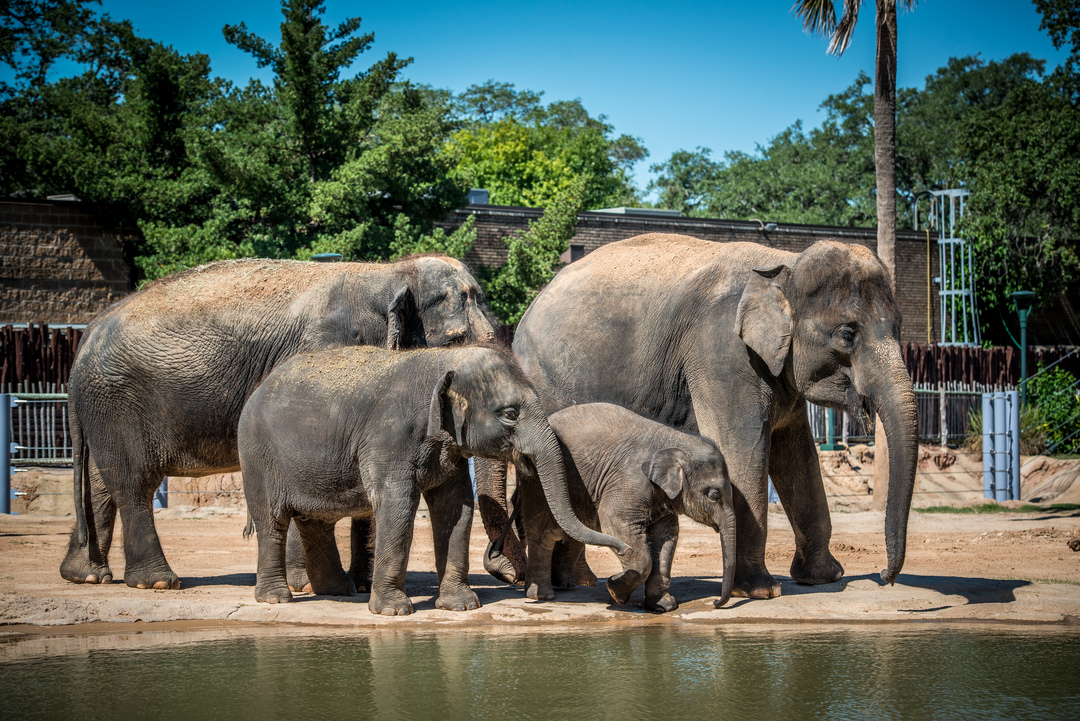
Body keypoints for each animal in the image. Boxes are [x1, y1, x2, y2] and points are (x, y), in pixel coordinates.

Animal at [61, 255, 497, 590]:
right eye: (455, 342)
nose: (500, 570)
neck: (389, 272)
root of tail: (88, 331)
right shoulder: (325, 351)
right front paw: (305, 584)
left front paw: (359, 584)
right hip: (117, 400)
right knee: (132, 482)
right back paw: (156, 583)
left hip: (104, 406)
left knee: (100, 483)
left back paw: (86, 575)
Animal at [238, 345, 629, 615]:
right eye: (510, 413)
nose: (623, 549)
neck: (442, 359)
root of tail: (255, 391)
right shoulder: (388, 439)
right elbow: (397, 508)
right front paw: (394, 611)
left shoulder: (449, 449)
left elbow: (457, 508)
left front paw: (462, 605)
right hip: (258, 457)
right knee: (273, 519)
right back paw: (276, 599)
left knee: (315, 520)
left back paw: (339, 591)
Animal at [515, 402, 736, 612]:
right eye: (714, 495)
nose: (716, 602)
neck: (673, 439)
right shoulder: (629, 481)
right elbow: (615, 523)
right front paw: (615, 591)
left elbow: (666, 538)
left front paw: (662, 606)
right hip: (537, 481)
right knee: (544, 533)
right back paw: (542, 595)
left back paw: (565, 586)